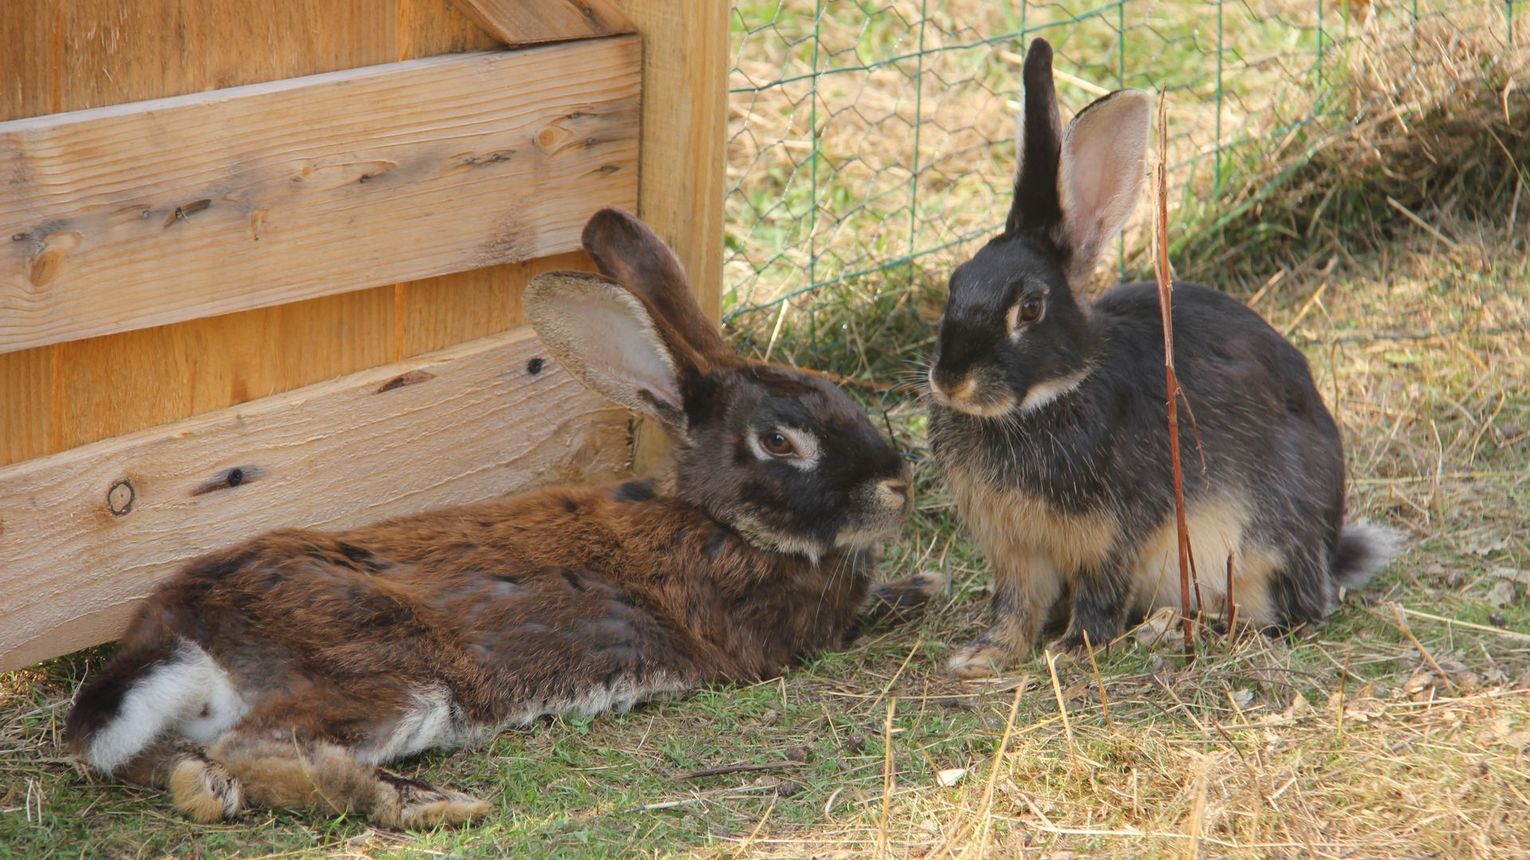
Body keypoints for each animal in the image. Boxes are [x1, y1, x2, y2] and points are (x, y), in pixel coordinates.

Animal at [918, 40, 1401, 676]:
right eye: (955, 283)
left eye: (1030, 308)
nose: (950, 380)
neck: (1048, 397)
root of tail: (1330, 550)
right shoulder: (1016, 550)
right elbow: (1017, 606)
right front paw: (981, 656)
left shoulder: (1112, 537)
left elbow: (1099, 595)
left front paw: (1072, 651)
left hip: (1255, 549)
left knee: (1281, 614)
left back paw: (1176, 630)